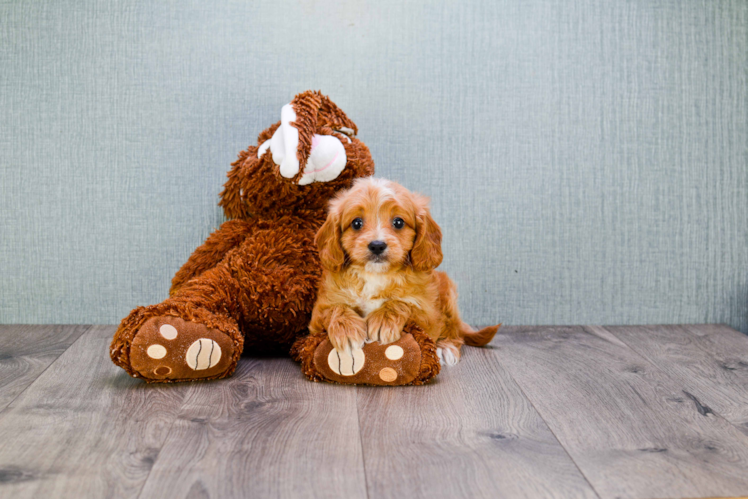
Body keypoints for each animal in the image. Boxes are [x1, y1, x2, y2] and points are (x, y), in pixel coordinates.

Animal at [306, 178, 500, 366]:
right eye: (356, 223)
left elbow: (403, 302)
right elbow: (335, 308)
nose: (377, 245)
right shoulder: (319, 312)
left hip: (448, 296)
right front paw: (346, 329)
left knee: (454, 330)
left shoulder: (427, 314)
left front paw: (383, 319)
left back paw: (445, 347)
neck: (375, 275)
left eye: (398, 222)